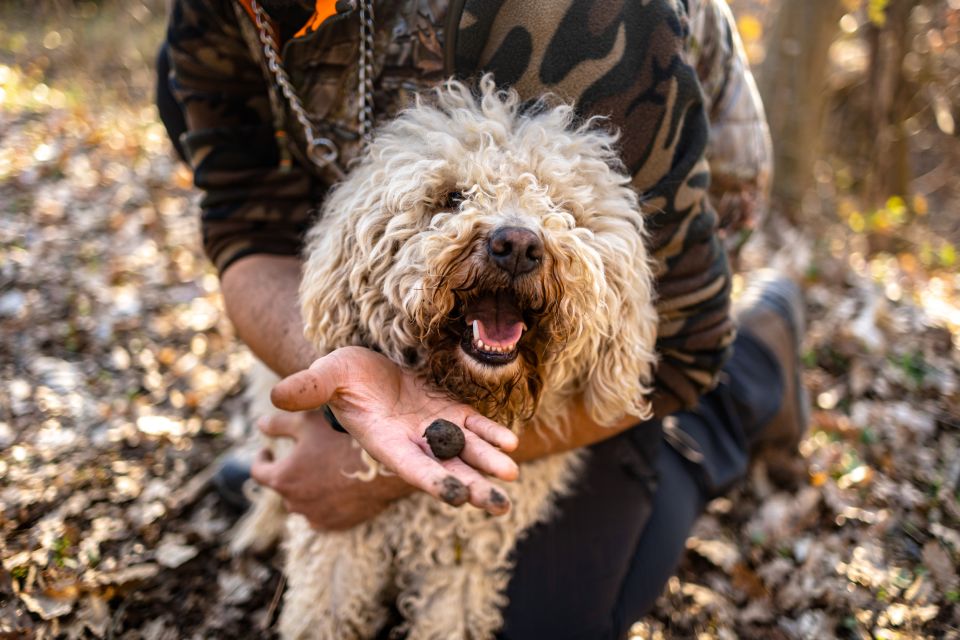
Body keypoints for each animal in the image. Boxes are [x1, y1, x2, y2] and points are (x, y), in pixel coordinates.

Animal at [236, 76, 660, 640]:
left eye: (559, 203)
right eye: (451, 197)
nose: (518, 244)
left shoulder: (463, 554)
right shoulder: (338, 535)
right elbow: (319, 614)